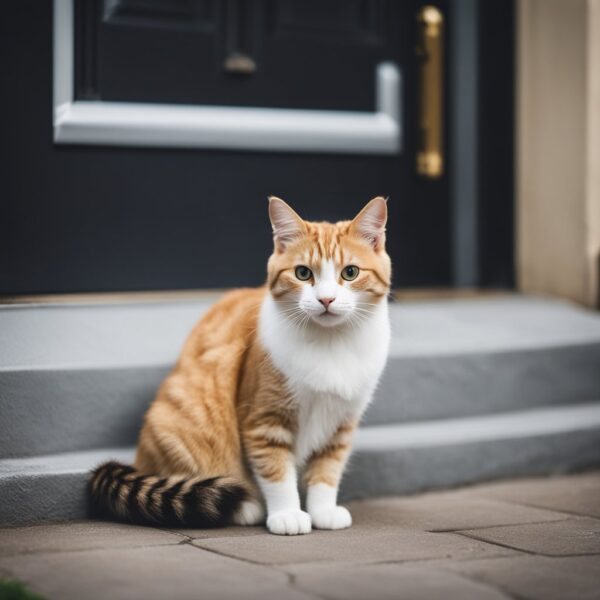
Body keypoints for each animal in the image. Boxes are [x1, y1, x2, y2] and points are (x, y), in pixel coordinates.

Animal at [88, 196, 390, 536]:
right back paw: (247, 507)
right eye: (302, 273)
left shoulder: (341, 425)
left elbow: (327, 471)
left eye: (350, 272)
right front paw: (287, 514)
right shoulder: (263, 420)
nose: (326, 300)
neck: (331, 344)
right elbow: (276, 472)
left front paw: (323, 510)